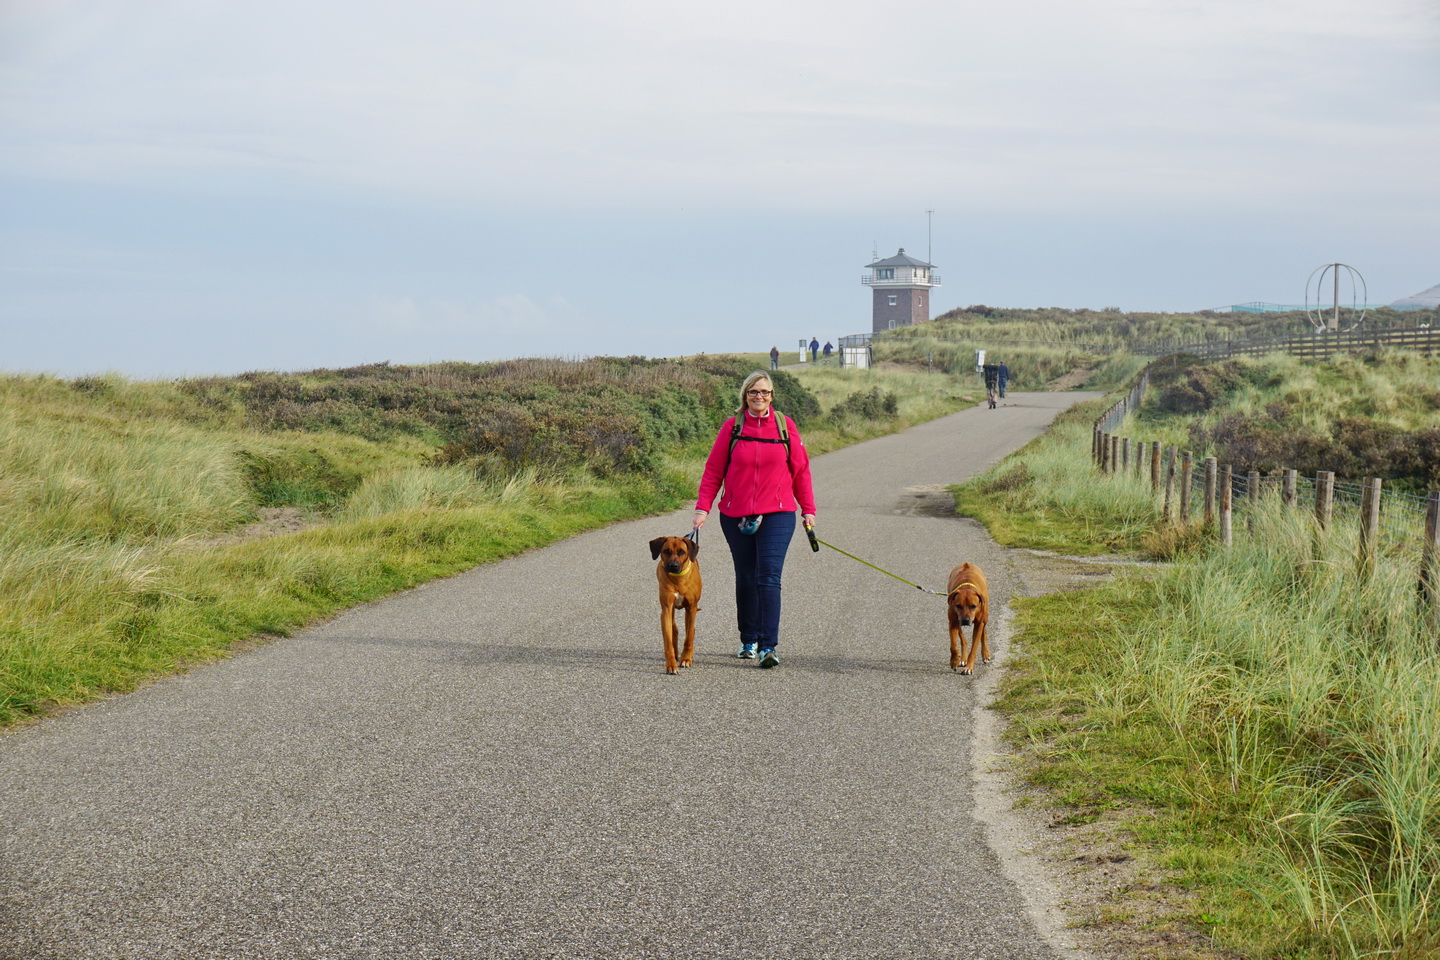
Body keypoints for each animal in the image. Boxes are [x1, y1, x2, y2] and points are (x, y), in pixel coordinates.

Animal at [648, 532, 702, 676]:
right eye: (666, 551)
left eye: (682, 551)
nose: (673, 566)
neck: (678, 579)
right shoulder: (666, 609)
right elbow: (668, 641)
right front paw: (671, 665)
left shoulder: (691, 608)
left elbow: (689, 637)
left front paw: (686, 659)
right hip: (670, 610)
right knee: (675, 630)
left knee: (690, 631)